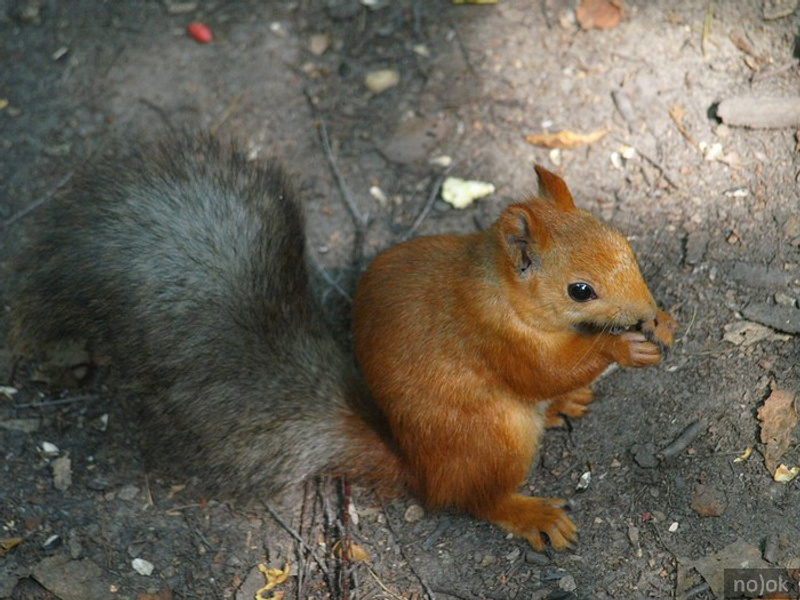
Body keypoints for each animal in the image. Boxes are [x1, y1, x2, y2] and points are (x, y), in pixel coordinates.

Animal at [8, 134, 675, 551]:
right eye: (580, 290)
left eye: (623, 242)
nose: (641, 312)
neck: (498, 289)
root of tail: (417, 468)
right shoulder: (490, 337)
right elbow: (539, 372)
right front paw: (619, 349)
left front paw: (661, 322)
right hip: (492, 439)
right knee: (471, 498)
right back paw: (525, 510)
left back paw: (565, 406)